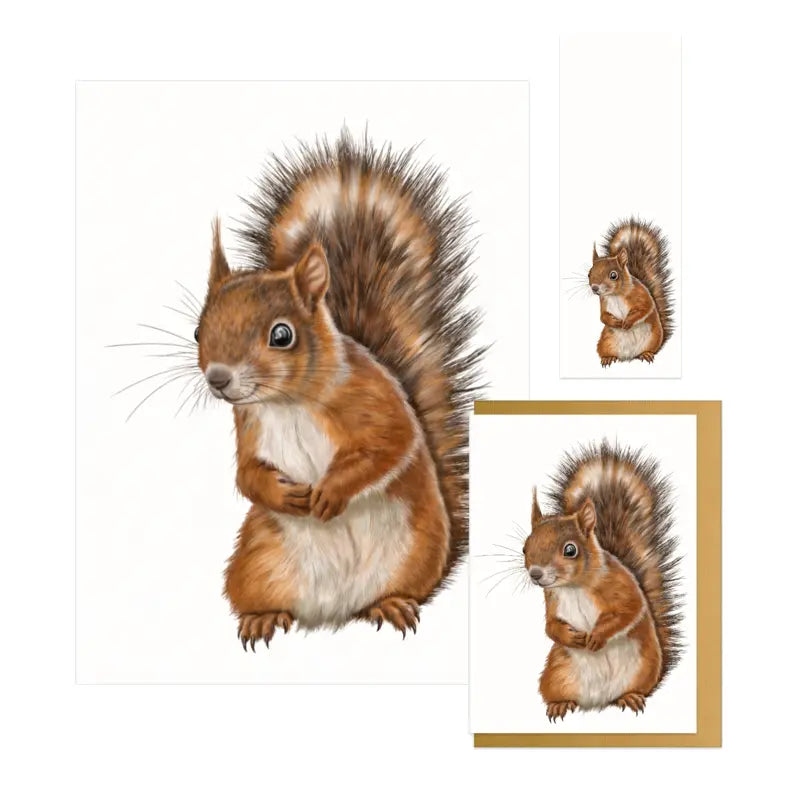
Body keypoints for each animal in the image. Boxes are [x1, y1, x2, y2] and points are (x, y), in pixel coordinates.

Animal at [194, 129, 483, 648]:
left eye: (282, 335)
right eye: (196, 332)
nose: (219, 379)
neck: (287, 402)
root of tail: (336, 614)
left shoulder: (375, 398)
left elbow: (390, 445)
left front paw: (331, 491)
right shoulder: (249, 425)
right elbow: (246, 474)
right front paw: (280, 493)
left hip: (415, 552)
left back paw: (390, 604)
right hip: (258, 561)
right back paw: (263, 616)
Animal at [523, 441, 682, 722]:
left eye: (570, 550)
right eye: (524, 547)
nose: (536, 574)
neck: (573, 587)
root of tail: (600, 702)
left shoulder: (621, 584)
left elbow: (629, 609)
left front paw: (597, 636)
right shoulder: (552, 599)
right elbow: (550, 626)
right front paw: (568, 636)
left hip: (643, 669)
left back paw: (630, 697)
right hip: (557, 674)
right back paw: (560, 704)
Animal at [588, 218, 674, 367]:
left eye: (613, 275)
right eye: (589, 273)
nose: (595, 288)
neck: (615, 295)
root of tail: (629, 357)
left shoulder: (641, 294)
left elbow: (645, 308)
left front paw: (628, 322)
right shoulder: (604, 301)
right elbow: (603, 316)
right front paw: (615, 322)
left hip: (653, 338)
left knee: (649, 350)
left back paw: (646, 354)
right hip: (606, 341)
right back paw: (608, 358)